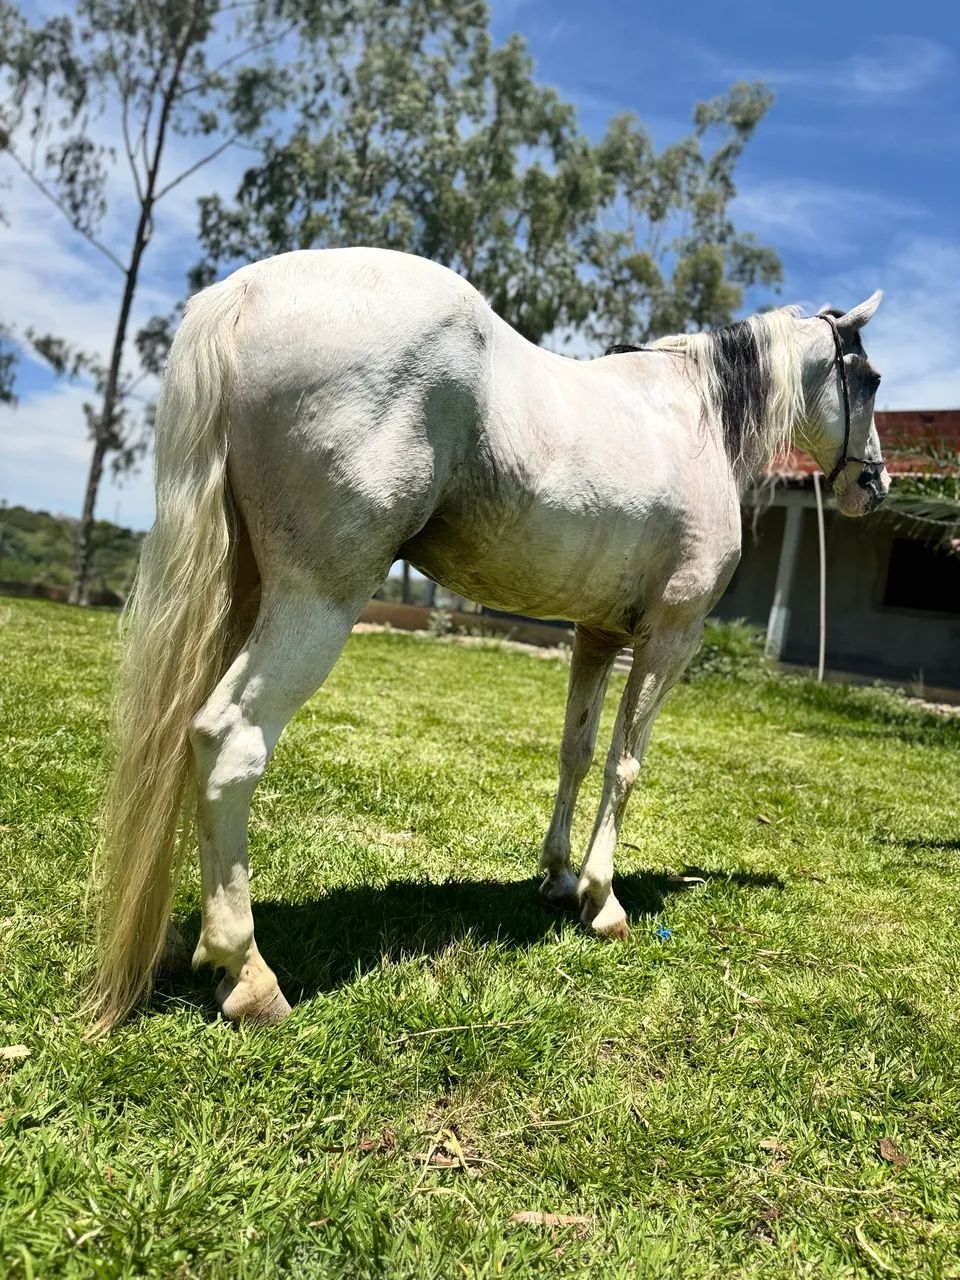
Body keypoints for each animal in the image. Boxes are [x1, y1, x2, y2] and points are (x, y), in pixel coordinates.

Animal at [89, 247, 889, 1029]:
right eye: (872, 379)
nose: (873, 486)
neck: (694, 417)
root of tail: (250, 289)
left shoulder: (596, 636)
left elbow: (576, 752)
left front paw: (560, 879)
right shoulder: (670, 637)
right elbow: (624, 764)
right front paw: (603, 899)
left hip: (243, 592)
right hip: (314, 604)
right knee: (229, 741)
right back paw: (249, 975)